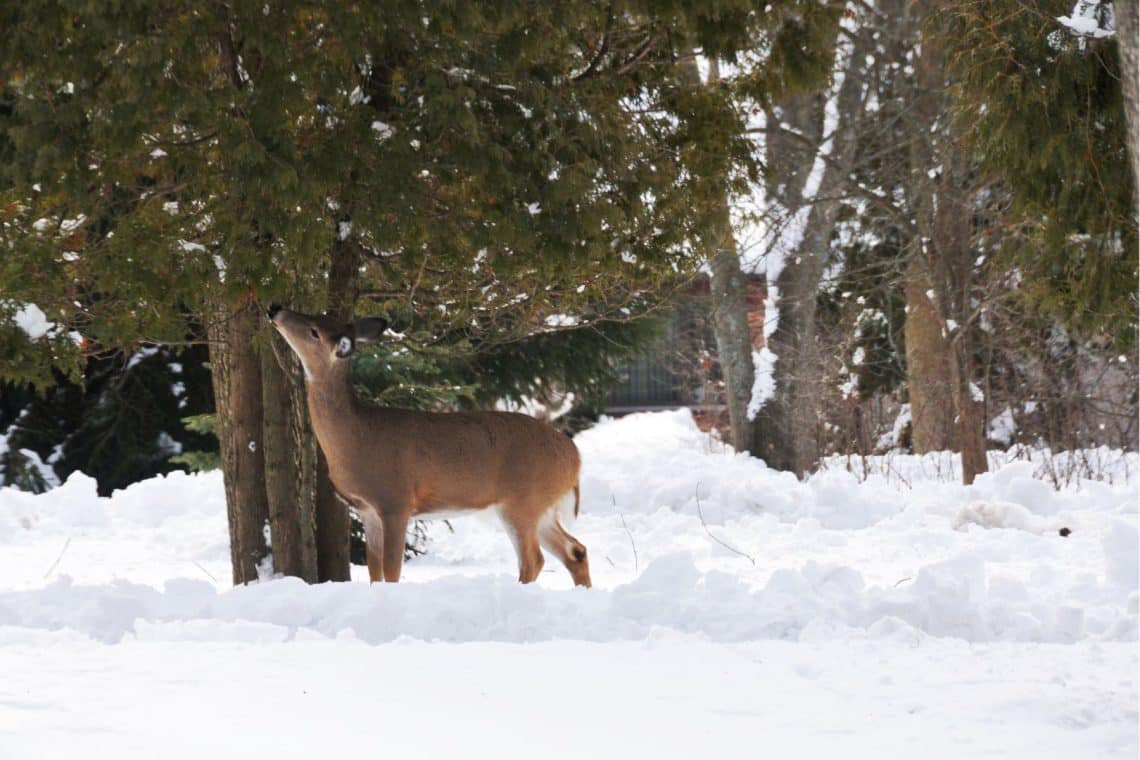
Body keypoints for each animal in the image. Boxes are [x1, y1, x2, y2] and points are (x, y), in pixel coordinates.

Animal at [263, 305, 592, 587]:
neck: (356, 436)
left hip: (522, 499)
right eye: (316, 318)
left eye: (314, 331)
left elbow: (391, 570)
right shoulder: (367, 511)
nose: (275, 309)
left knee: (534, 560)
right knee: (575, 550)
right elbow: (374, 572)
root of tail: (574, 456)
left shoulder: (396, 500)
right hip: (541, 505)